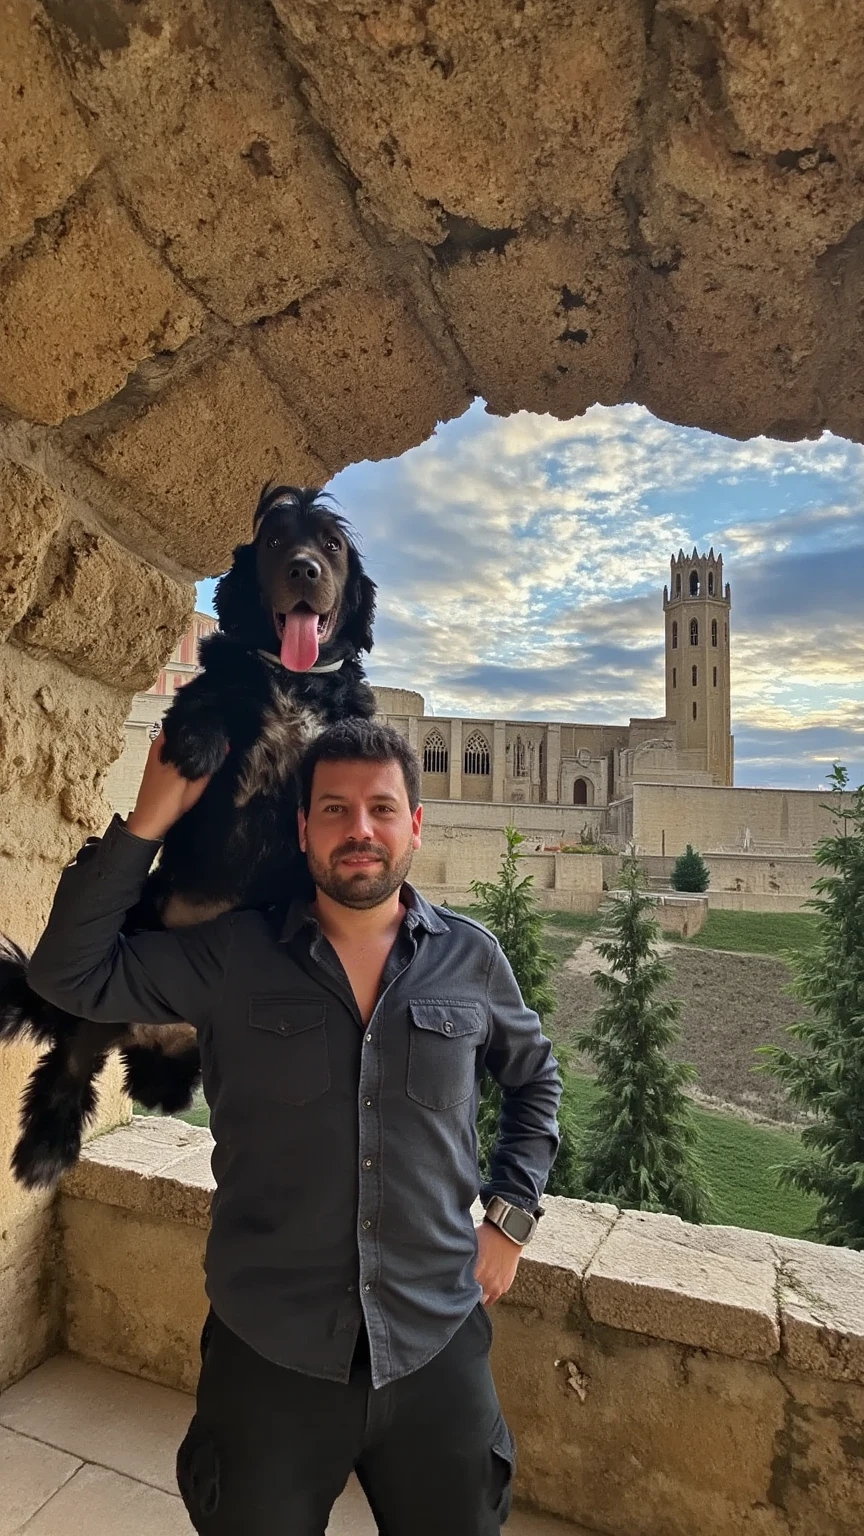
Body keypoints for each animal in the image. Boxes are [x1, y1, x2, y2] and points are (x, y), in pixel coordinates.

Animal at [0, 482, 376, 1185]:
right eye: (276, 540)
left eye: (332, 545)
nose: (304, 570)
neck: (293, 677)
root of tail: (153, 1029)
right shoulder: (209, 693)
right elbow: (204, 703)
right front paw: (198, 747)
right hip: (125, 943)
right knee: (69, 1059)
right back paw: (44, 1149)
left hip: (174, 1061)